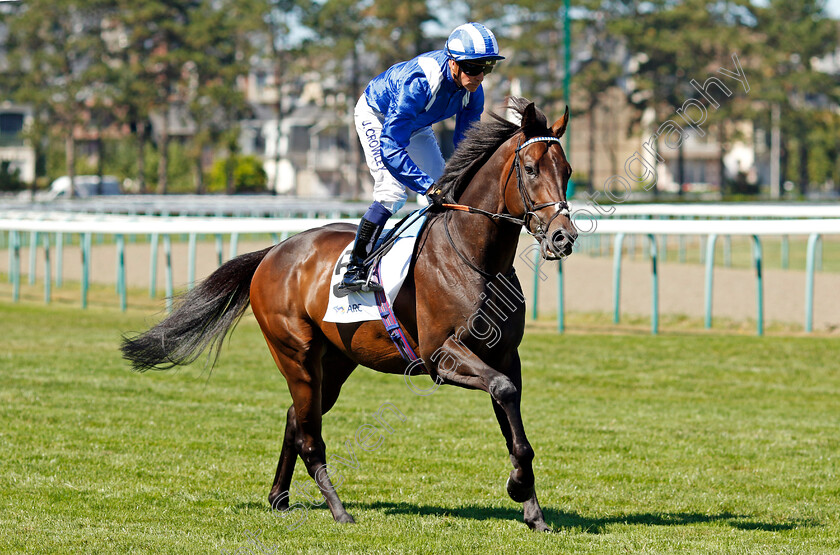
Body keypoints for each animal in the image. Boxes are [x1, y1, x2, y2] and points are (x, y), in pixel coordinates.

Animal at [120, 97, 576, 532]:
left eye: (567, 170)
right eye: (531, 168)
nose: (563, 236)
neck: (474, 257)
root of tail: (273, 251)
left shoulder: (505, 357)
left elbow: (514, 424)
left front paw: (533, 511)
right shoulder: (441, 356)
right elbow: (502, 391)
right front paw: (518, 489)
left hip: (336, 362)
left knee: (296, 418)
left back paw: (279, 498)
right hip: (296, 356)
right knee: (309, 436)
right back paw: (338, 510)